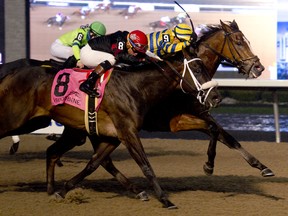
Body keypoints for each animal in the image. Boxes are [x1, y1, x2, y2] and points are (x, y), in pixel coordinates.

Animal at [0, 46, 220, 208]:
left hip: (50, 124)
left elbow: (94, 163)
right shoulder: (128, 132)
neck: (135, 88)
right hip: (17, 119)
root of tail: (11, 73)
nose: (216, 97)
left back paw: (50, 189)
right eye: (198, 70)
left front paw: (63, 191)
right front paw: (165, 200)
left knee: (52, 151)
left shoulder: (112, 136)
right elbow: (146, 166)